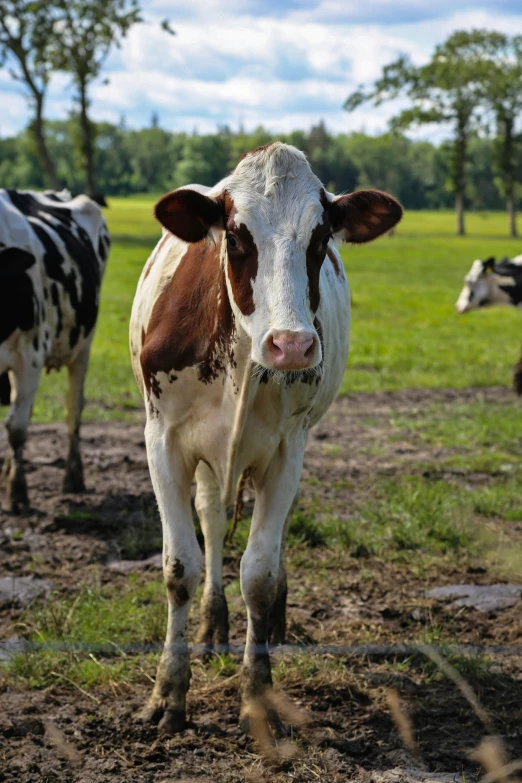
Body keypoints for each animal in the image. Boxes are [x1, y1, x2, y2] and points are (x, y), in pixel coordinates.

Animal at [0, 187, 109, 512]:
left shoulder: (30, 357)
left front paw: (18, 493)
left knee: (73, 409)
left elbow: (17, 428)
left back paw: (73, 478)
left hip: (84, 346)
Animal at [130, 144, 402, 740]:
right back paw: (212, 626)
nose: (292, 345)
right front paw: (168, 694)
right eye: (235, 236)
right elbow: (180, 566)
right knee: (211, 518)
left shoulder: (286, 450)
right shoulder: (162, 439)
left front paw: (258, 696)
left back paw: (272, 619)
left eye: (321, 239)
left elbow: (257, 571)